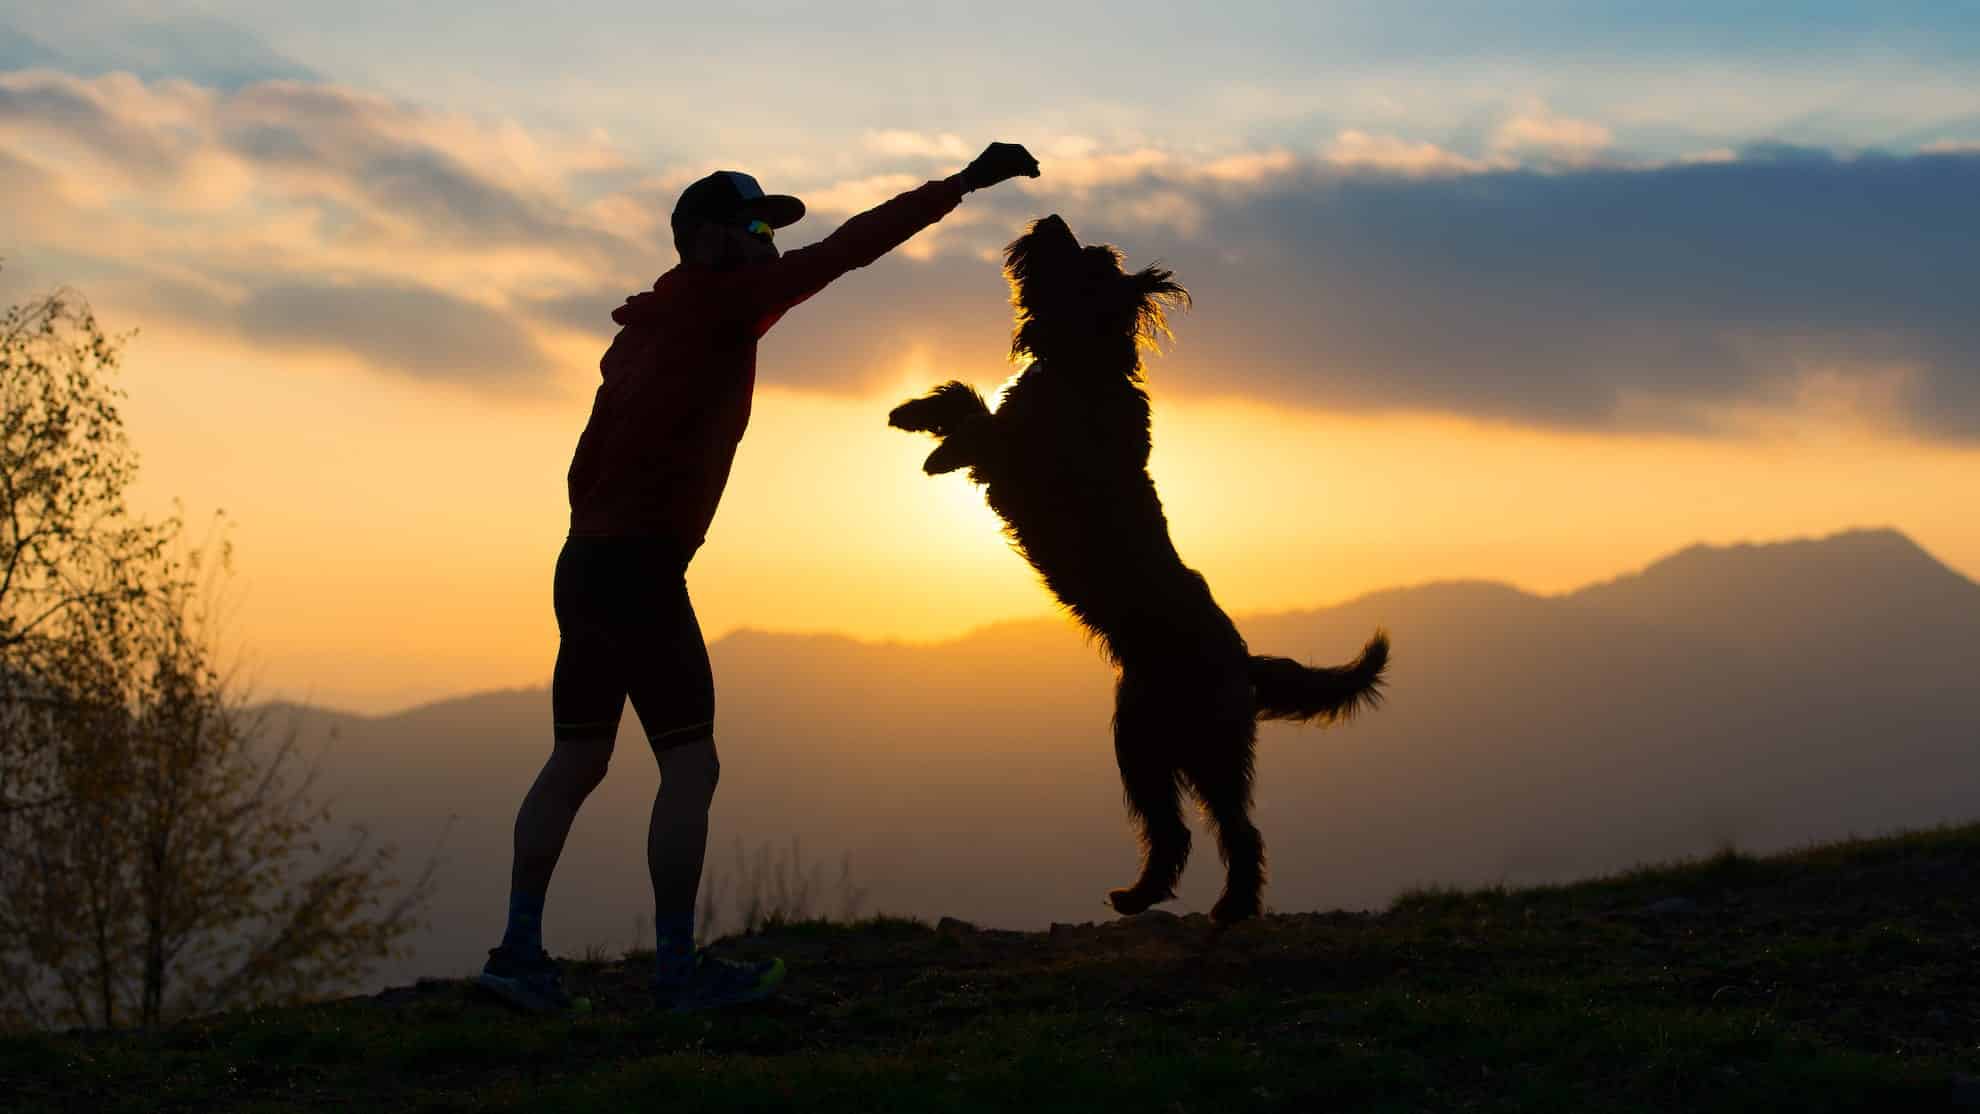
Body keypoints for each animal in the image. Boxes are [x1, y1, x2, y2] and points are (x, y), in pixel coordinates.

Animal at [891, 213, 1386, 929]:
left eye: (1088, 260)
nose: (1051, 220)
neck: (1084, 365)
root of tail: (1242, 659)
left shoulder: (1030, 457)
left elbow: (981, 421)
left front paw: (938, 441)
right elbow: (967, 401)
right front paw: (917, 415)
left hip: (1207, 746)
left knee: (1239, 830)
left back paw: (1234, 906)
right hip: (1142, 743)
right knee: (1172, 831)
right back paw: (1139, 895)